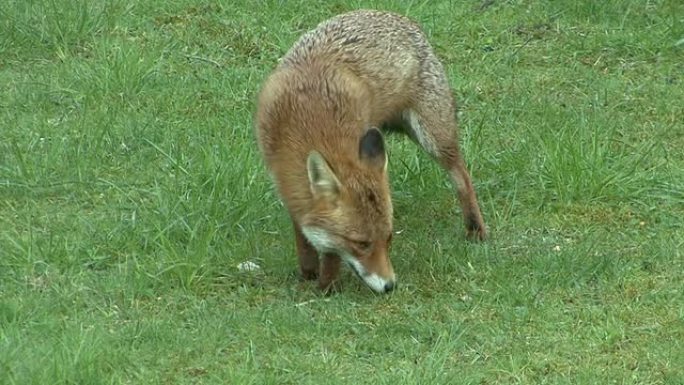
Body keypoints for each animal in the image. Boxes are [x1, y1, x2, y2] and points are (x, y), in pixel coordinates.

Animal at [255, 9, 486, 294]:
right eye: (362, 243)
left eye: (388, 238)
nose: (390, 286)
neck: (308, 118)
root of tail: (401, 18)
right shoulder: (287, 182)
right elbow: (302, 231)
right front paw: (308, 271)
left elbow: (330, 252)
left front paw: (326, 288)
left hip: (433, 135)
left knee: (462, 177)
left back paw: (475, 228)